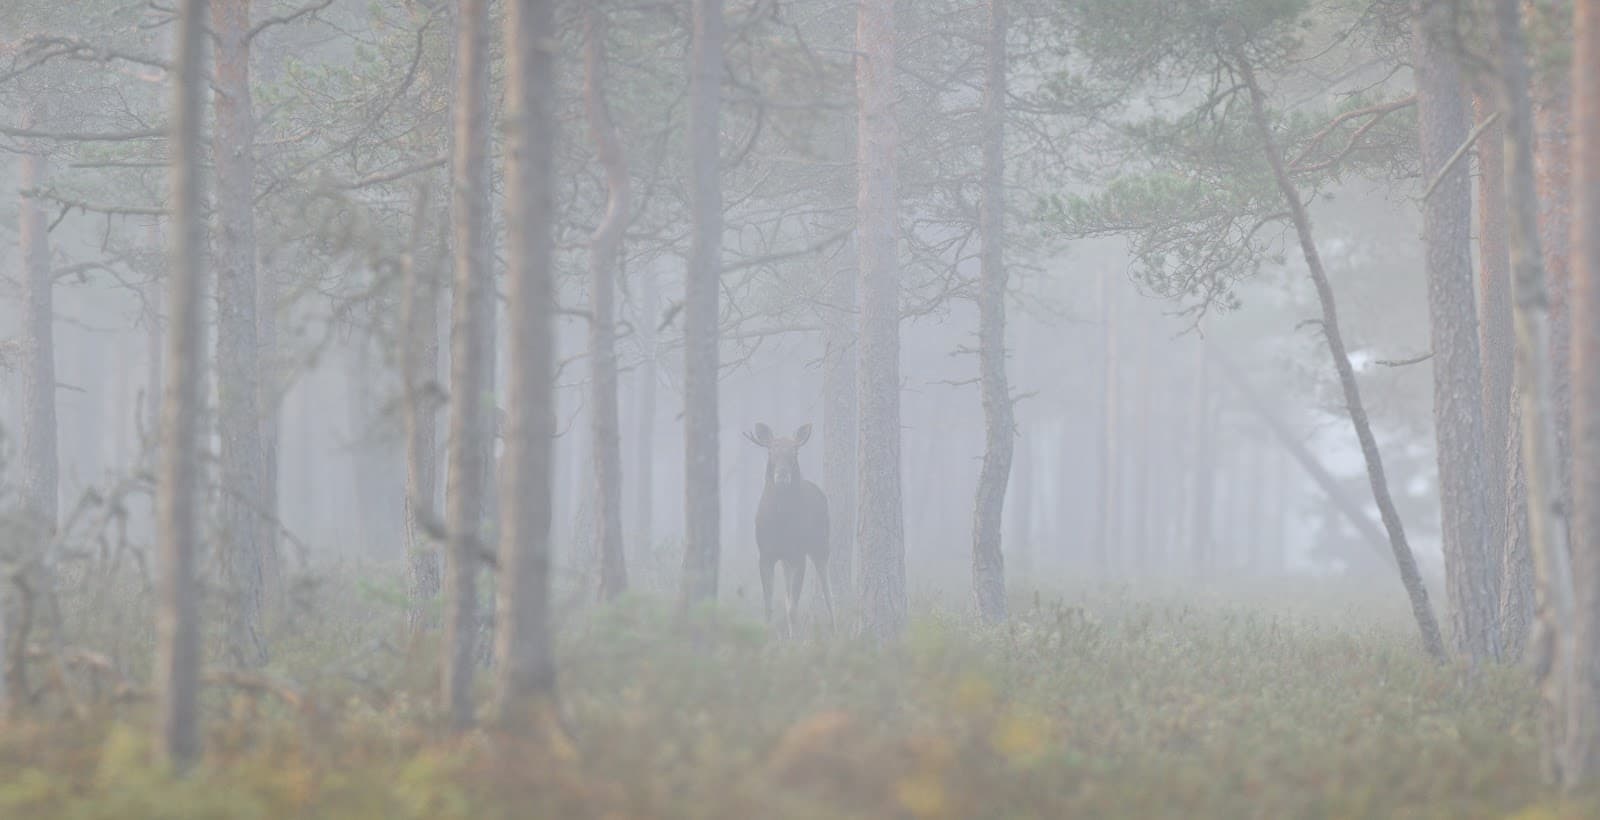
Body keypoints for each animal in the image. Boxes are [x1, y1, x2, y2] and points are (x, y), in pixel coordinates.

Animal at [745, 422, 833, 637]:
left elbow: (793, 608)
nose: (782, 475)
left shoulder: (798, 555)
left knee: (829, 594)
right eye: (771, 451)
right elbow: (770, 606)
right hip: (786, 559)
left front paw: (795, 640)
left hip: (821, 546)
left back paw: (835, 630)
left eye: (795, 452)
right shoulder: (766, 554)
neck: (780, 523)